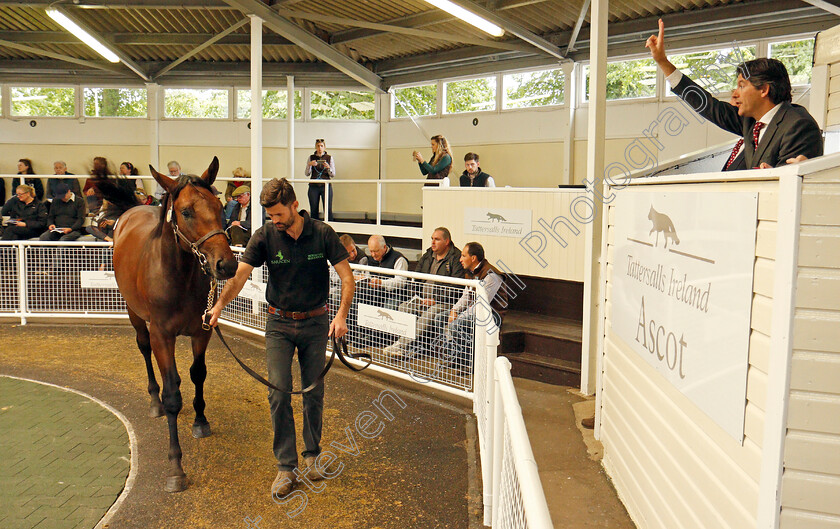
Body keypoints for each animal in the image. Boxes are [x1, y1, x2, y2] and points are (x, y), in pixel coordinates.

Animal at [97, 156, 238, 490]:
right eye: (186, 212)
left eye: (219, 204)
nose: (226, 265)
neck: (179, 275)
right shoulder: (163, 335)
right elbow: (172, 393)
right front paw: (176, 467)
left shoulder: (202, 331)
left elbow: (198, 374)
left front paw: (200, 421)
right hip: (135, 316)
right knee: (145, 350)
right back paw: (154, 400)